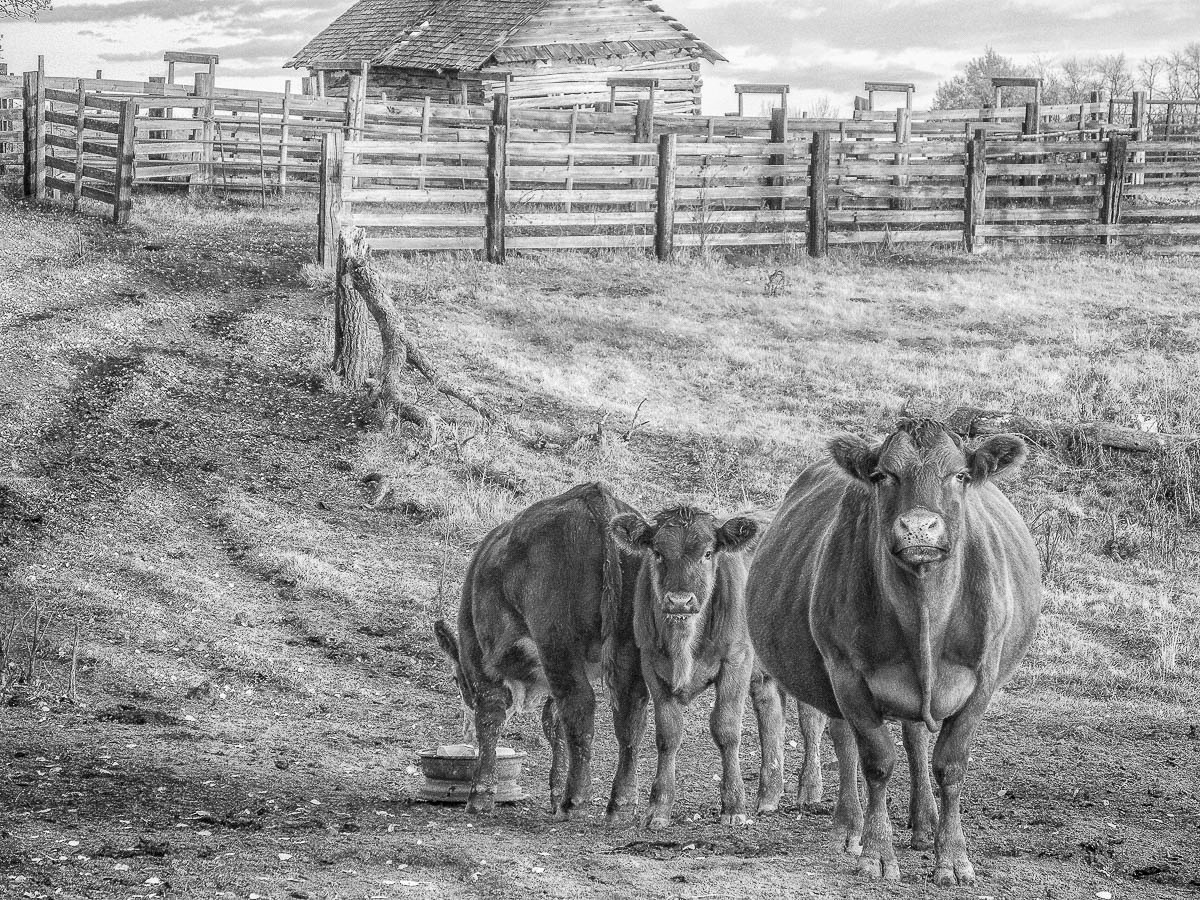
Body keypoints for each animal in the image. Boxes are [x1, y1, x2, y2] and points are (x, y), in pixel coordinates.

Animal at [610, 505, 785, 830]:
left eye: (707, 553)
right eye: (657, 552)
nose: (680, 601)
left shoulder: (736, 660)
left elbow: (726, 729)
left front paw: (733, 805)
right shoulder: (651, 665)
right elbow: (667, 735)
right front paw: (659, 808)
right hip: (764, 674)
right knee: (770, 713)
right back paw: (769, 795)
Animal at [747, 418, 1041, 885]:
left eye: (960, 475)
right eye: (884, 475)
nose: (919, 527)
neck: (925, 614)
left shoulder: (983, 680)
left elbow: (950, 765)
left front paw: (952, 858)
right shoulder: (847, 675)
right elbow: (876, 762)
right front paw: (877, 853)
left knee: (916, 738)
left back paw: (924, 823)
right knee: (845, 740)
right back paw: (848, 828)